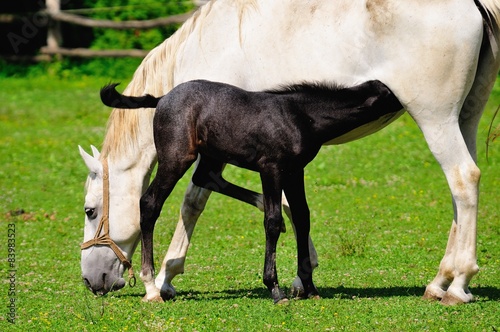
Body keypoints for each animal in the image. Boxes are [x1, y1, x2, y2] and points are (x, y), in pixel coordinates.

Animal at [101, 80, 402, 304]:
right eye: (391, 95)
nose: (406, 104)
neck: (301, 115)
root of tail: (163, 98)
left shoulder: (294, 172)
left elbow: (302, 217)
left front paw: (310, 287)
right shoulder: (272, 168)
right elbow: (272, 222)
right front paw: (275, 289)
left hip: (210, 155)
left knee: (204, 178)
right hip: (177, 158)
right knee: (150, 203)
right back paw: (151, 287)